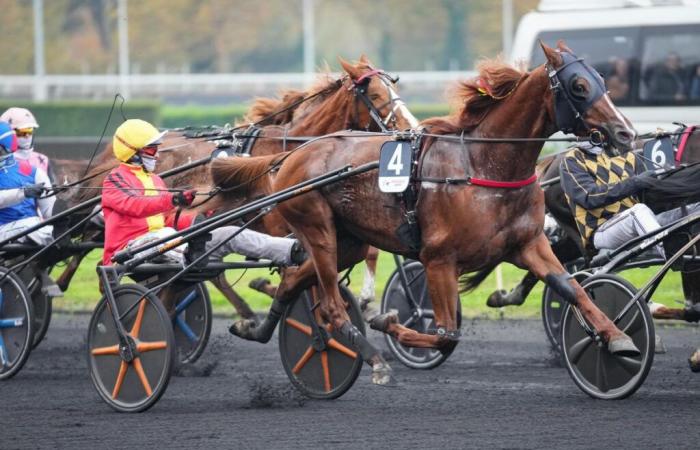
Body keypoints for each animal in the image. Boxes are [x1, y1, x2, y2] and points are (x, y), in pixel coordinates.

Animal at [216, 43, 644, 386]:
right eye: (578, 86)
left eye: (602, 80)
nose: (625, 133)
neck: (484, 164)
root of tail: (295, 152)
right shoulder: (439, 259)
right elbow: (446, 335)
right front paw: (387, 322)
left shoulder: (530, 245)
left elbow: (573, 290)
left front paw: (617, 338)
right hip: (317, 227)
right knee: (332, 307)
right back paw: (371, 357)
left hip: (348, 240)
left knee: (294, 279)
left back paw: (256, 327)